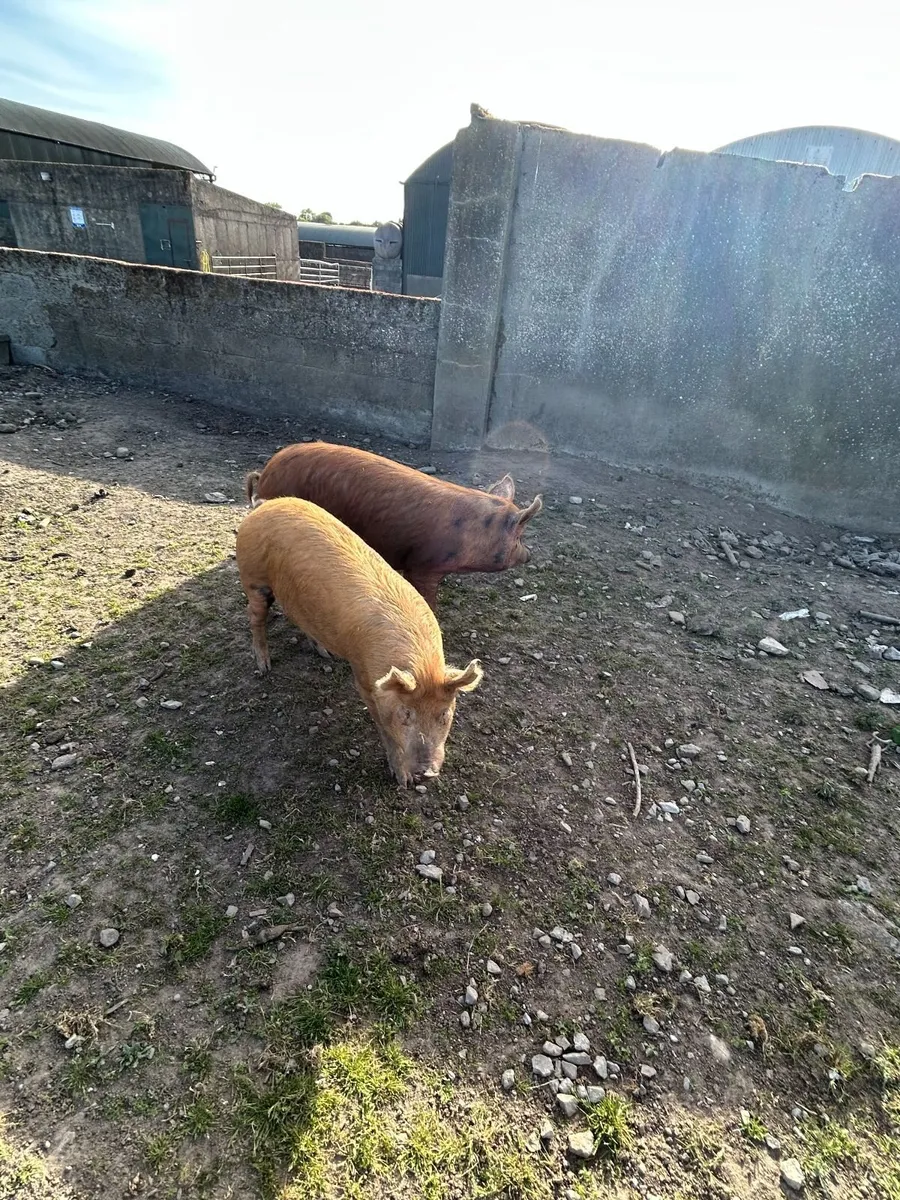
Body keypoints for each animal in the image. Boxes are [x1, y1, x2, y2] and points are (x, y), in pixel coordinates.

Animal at [235, 496, 483, 787]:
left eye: (444, 714)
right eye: (405, 713)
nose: (426, 772)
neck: (421, 665)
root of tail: (263, 505)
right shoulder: (364, 680)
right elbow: (385, 730)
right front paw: (402, 781)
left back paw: (324, 653)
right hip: (253, 579)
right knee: (254, 617)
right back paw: (264, 667)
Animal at [245, 441, 542, 610]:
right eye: (520, 535)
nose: (530, 554)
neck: (472, 534)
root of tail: (264, 473)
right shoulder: (423, 565)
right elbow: (426, 596)